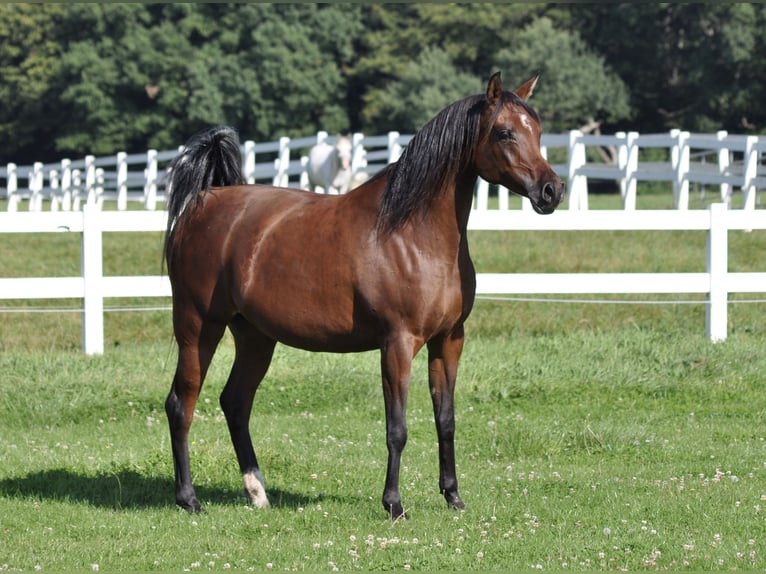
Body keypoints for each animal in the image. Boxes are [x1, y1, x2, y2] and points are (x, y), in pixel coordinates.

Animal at [163, 72, 564, 519]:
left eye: (538, 131)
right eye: (504, 132)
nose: (552, 190)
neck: (412, 234)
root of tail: (205, 201)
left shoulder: (449, 341)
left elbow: (446, 420)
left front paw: (453, 496)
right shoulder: (397, 343)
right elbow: (397, 428)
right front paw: (394, 504)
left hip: (255, 337)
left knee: (235, 402)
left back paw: (258, 493)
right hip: (199, 328)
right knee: (181, 403)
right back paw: (189, 499)